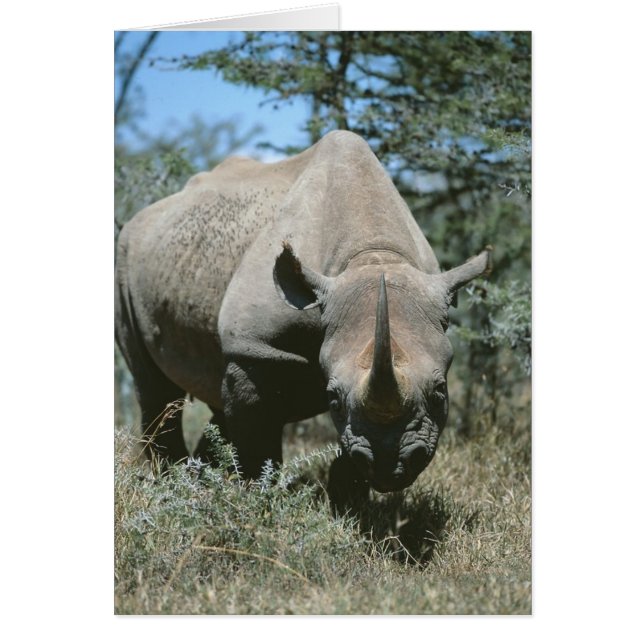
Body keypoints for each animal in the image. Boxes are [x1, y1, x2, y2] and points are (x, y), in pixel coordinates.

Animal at [115, 130, 490, 507]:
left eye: (440, 392)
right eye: (333, 399)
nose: (391, 465)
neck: (374, 256)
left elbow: (347, 446)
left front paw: (350, 508)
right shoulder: (254, 346)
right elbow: (257, 439)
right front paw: (258, 499)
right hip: (124, 258)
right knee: (155, 388)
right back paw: (174, 483)